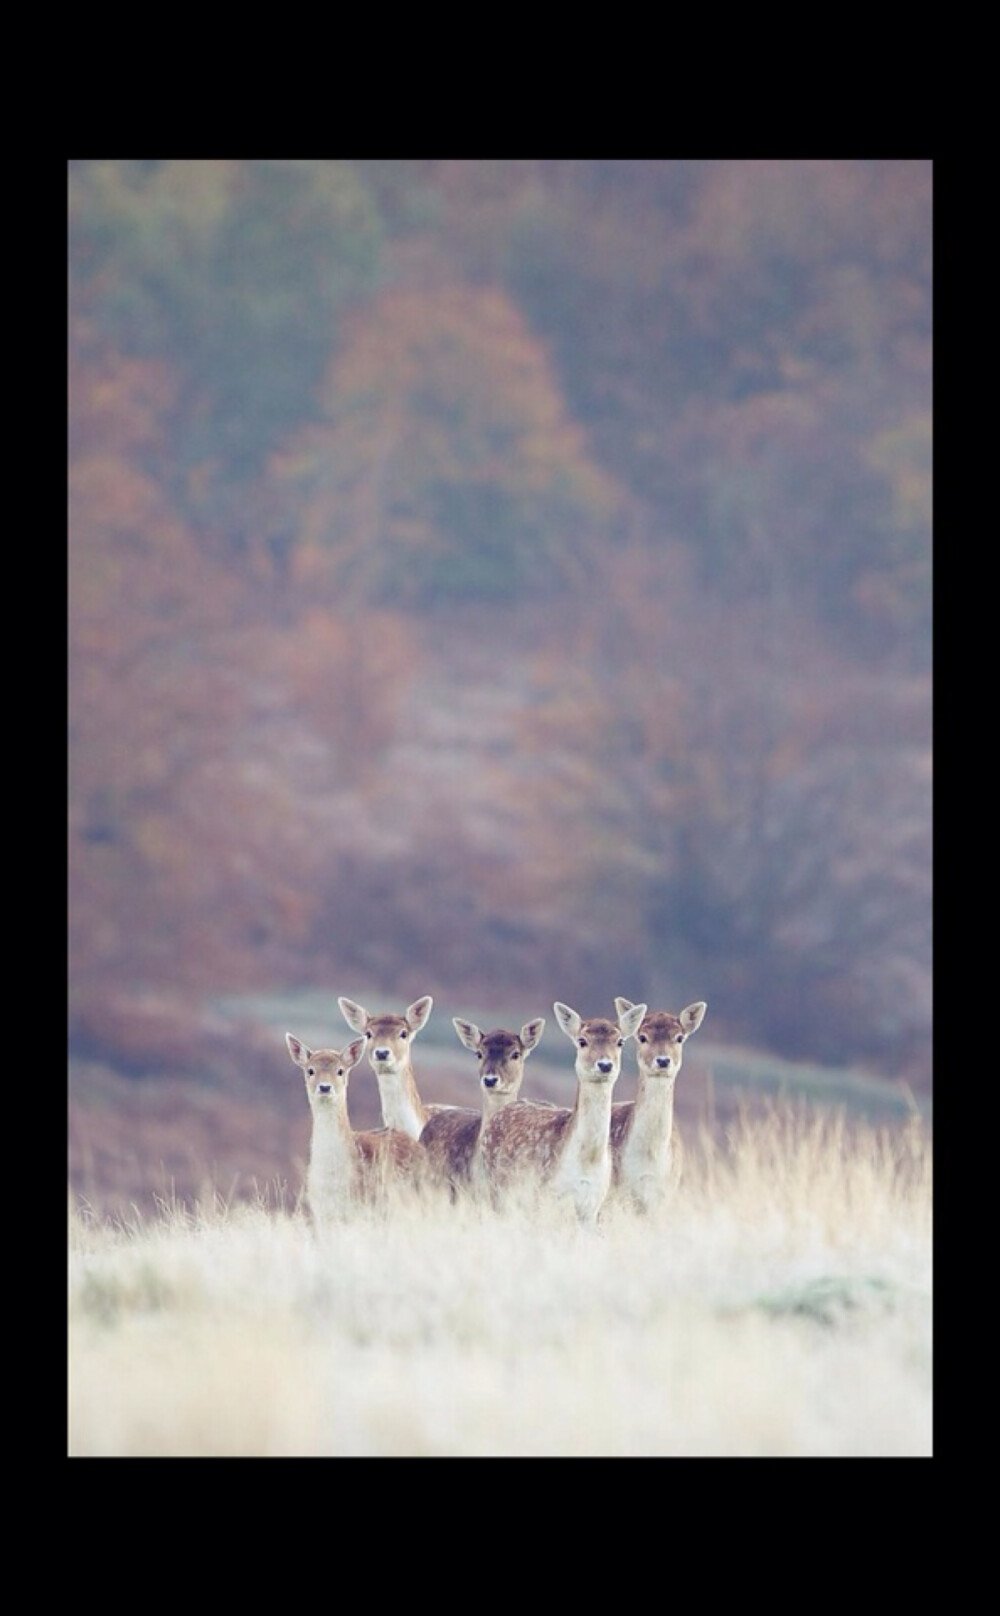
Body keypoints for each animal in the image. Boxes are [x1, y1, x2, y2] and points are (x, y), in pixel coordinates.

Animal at [478, 995, 649, 1221]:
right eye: (582, 1041)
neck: (587, 1162)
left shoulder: (593, 1204)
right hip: (497, 1189)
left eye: (620, 1041)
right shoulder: (547, 1195)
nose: (605, 1064)